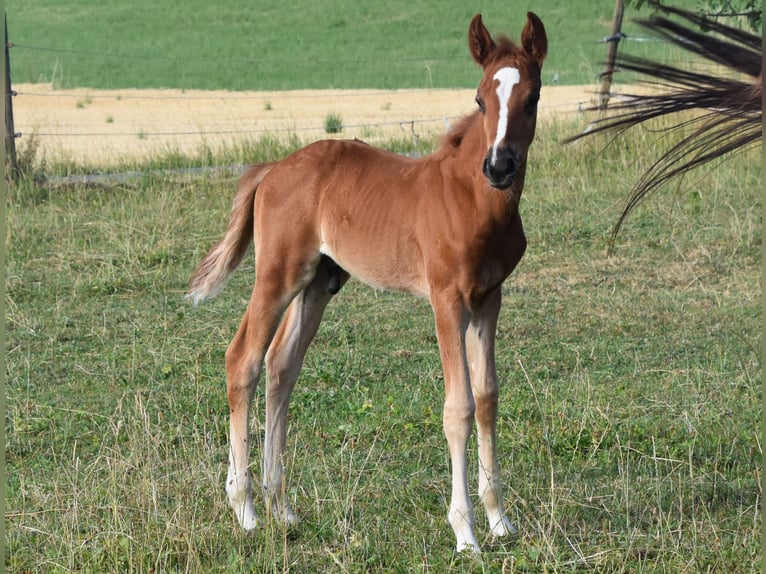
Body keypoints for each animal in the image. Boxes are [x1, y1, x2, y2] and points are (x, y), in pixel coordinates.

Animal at [187, 12, 547, 553]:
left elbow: (487, 398)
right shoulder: (446, 299)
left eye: (533, 97)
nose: (499, 166)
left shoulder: (489, 298)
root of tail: (271, 170)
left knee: (281, 366)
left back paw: (281, 507)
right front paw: (465, 531)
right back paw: (245, 509)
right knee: (243, 359)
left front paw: (499, 520)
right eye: (481, 98)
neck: (471, 201)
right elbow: (458, 407)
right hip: (279, 272)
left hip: (319, 281)